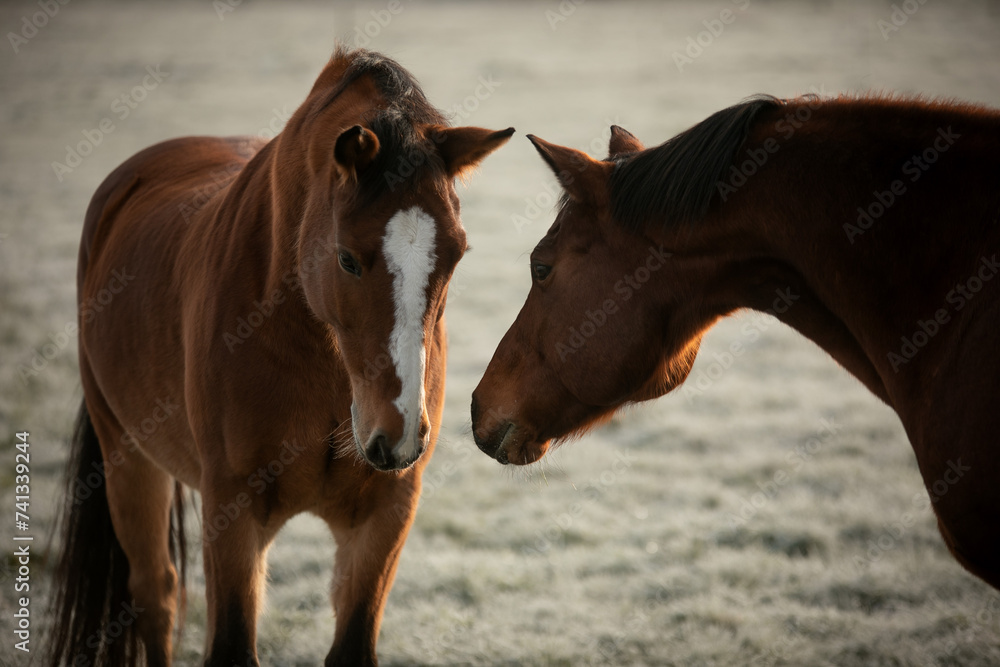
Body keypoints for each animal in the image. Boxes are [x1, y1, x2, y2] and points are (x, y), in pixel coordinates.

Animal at [49, 47, 513, 667]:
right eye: (346, 259)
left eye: (458, 253)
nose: (399, 434)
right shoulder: (232, 512)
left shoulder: (385, 514)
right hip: (128, 458)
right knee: (157, 595)